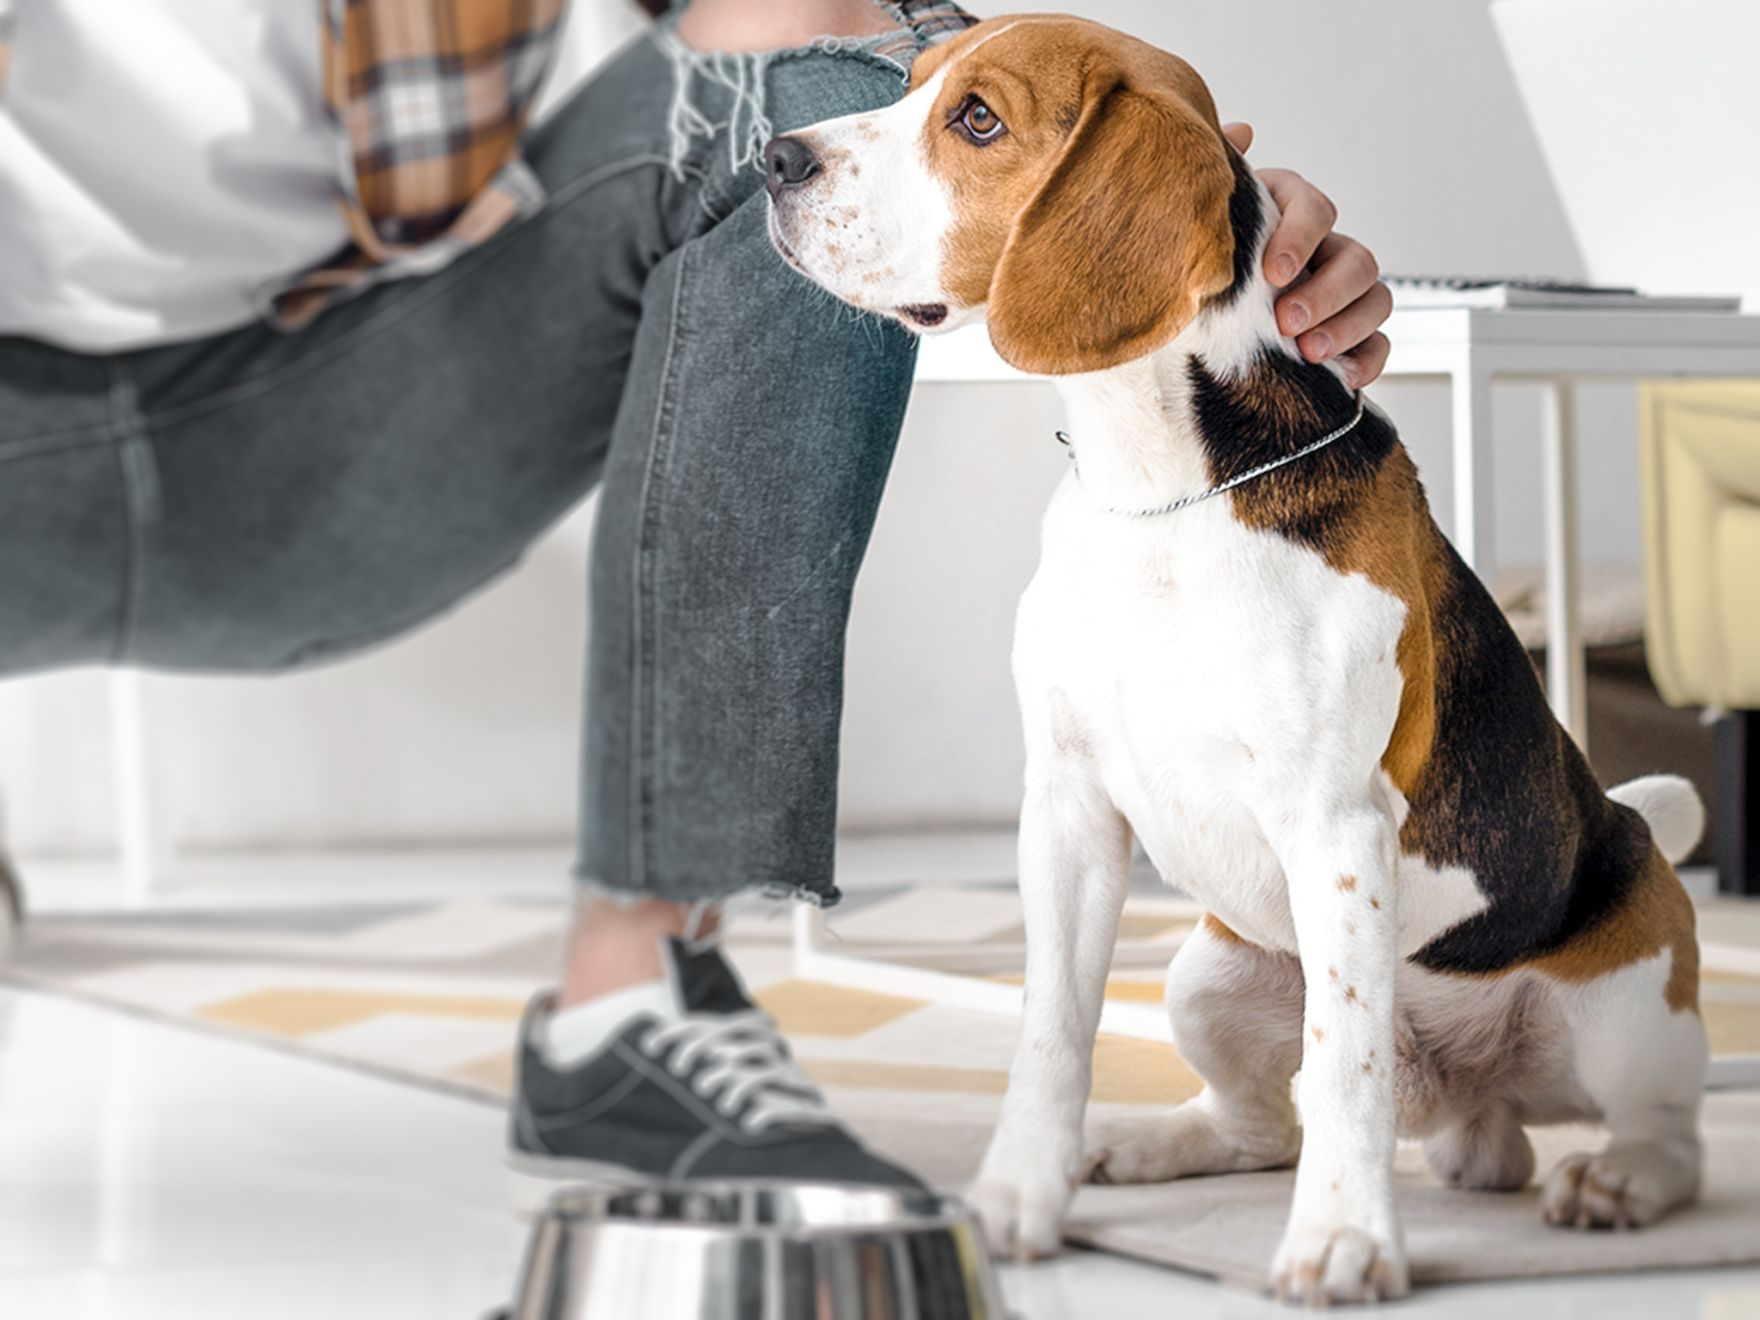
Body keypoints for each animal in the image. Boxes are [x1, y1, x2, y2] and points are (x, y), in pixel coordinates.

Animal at [763, 12, 1710, 1316]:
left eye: (977, 120)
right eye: (905, 86)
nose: (770, 159)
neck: (1160, 488)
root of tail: (1467, 1108)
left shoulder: (1335, 826)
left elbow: (1345, 1059)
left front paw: (1343, 1241)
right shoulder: (1065, 809)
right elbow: (1050, 1032)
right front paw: (1015, 1196)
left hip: (1624, 1002)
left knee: (1658, 1132)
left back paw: (1611, 1180)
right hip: (1205, 974)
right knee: (1267, 1122)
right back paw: (1148, 1143)